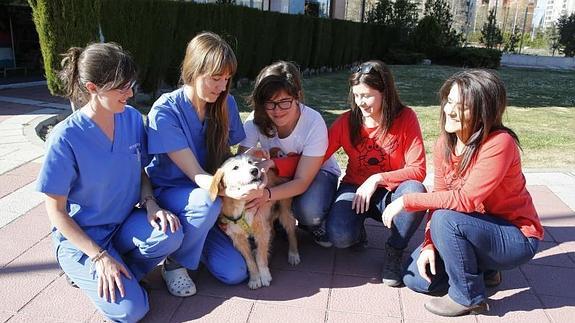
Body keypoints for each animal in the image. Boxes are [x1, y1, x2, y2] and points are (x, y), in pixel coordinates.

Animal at [208, 153, 302, 290]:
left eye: (250, 162)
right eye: (235, 167)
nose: (255, 170)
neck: (242, 205)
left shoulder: (261, 230)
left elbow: (260, 258)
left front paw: (264, 275)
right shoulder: (238, 238)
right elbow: (250, 261)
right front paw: (255, 278)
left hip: (284, 211)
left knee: (291, 230)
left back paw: (293, 254)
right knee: (272, 232)